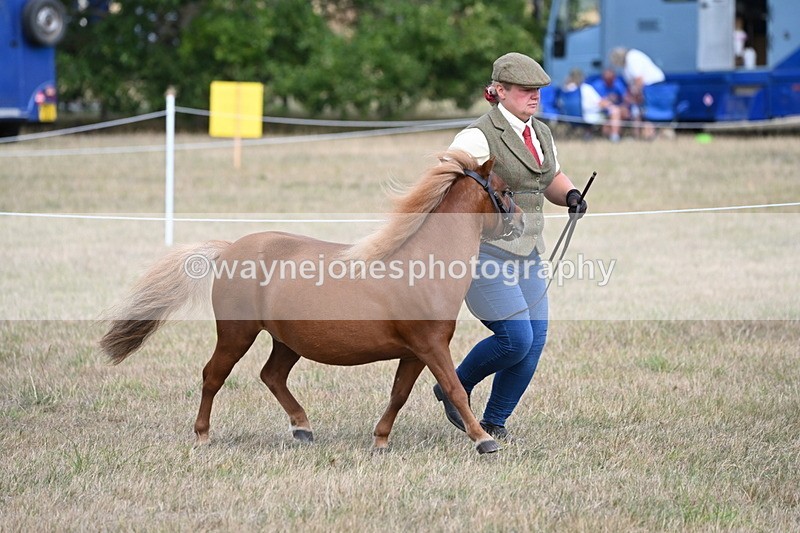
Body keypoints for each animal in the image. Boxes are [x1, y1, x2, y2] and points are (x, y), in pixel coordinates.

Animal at [100, 149, 523, 454]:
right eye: (504, 191)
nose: (521, 220)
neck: (423, 263)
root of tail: (230, 249)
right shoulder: (431, 346)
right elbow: (454, 389)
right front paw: (484, 440)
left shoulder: (415, 352)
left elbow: (399, 395)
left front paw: (380, 440)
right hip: (237, 334)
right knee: (212, 376)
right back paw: (203, 435)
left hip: (286, 341)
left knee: (271, 376)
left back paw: (302, 428)